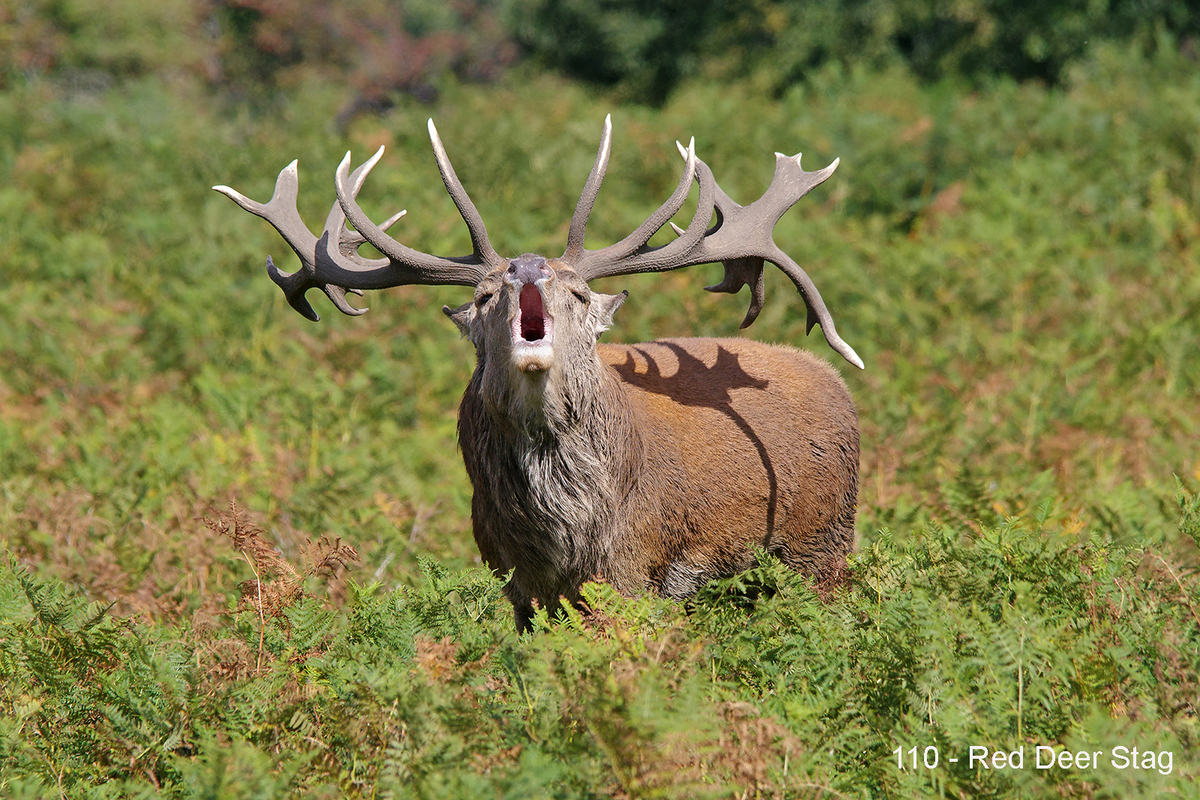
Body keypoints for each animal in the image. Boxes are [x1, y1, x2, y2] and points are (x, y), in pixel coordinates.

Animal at [214, 116, 863, 631]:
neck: (563, 532)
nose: (527, 266)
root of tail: (835, 383)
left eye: (579, 292)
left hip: (823, 544)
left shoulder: (635, 566)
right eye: (482, 297)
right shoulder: (511, 575)